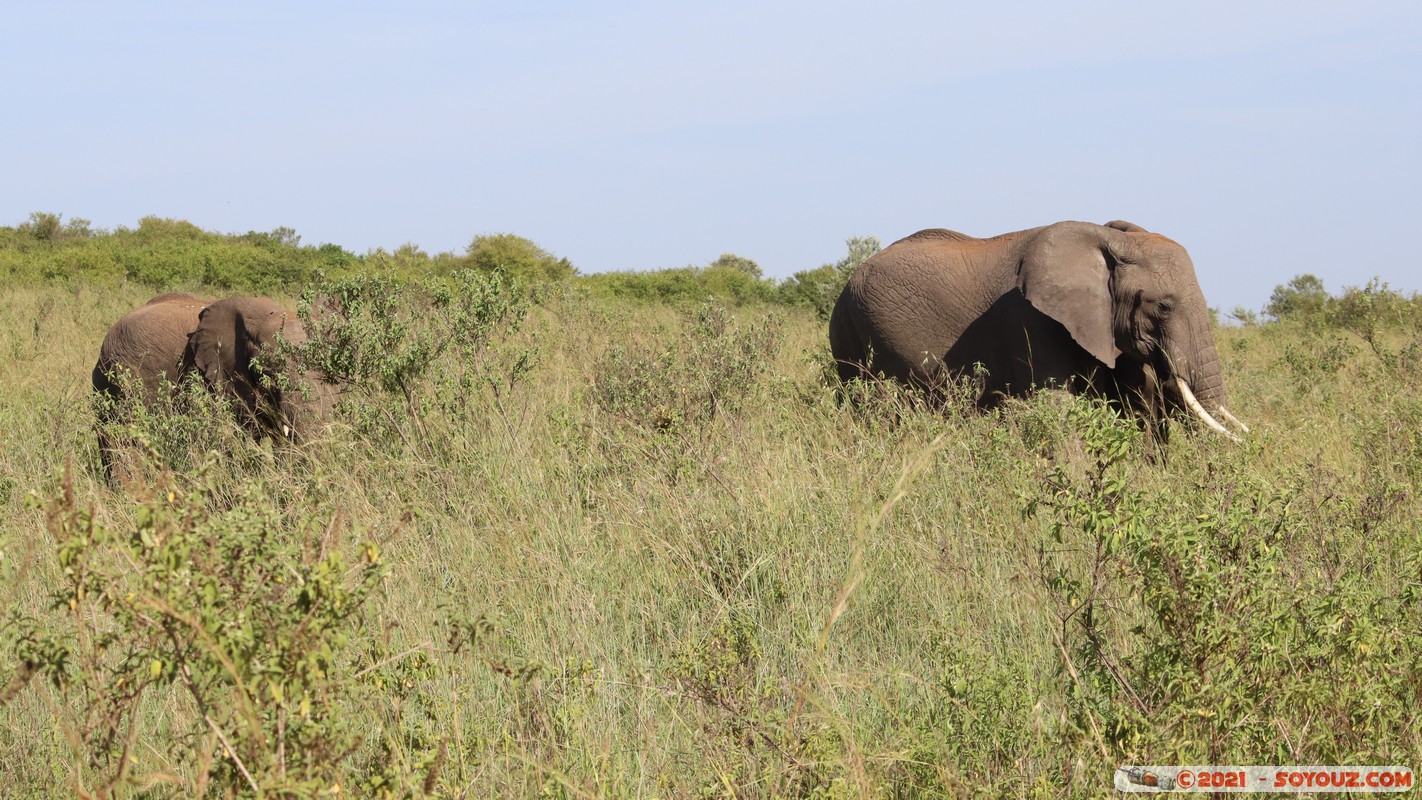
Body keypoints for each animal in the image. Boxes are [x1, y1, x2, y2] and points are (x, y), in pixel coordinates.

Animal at [830, 221, 1251, 440]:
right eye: (1163, 306)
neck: (1107, 239)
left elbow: (1133, 400)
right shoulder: (1030, 320)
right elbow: (1055, 407)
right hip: (850, 333)